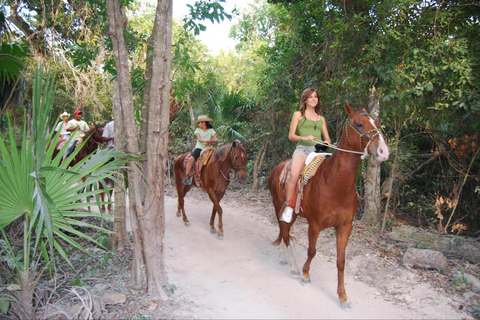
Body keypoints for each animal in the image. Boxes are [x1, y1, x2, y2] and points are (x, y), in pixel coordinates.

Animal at [268, 102, 388, 310]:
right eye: (359, 124)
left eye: (377, 123)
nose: (383, 151)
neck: (335, 184)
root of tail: (277, 169)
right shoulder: (314, 224)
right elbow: (312, 251)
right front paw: (305, 275)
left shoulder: (345, 227)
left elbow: (341, 261)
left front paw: (343, 297)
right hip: (282, 208)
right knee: (285, 233)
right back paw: (293, 266)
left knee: (285, 233)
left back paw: (284, 258)